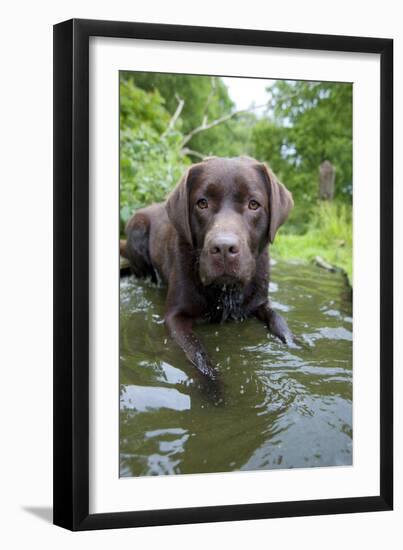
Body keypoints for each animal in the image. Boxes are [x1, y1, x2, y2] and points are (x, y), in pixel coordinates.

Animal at [120, 155, 294, 380]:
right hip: (138, 231)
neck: (225, 292)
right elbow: (198, 355)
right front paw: (214, 386)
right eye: (202, 203)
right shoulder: (175, 317)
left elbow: (278, 319)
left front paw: (296, 344)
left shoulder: (259, 302)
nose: (224, 248)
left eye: (253, 204)